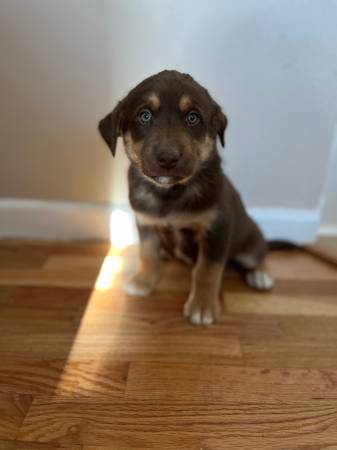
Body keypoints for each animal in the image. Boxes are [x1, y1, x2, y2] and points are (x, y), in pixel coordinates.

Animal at [98, 69, 272, 324]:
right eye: (144, 116)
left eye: (193, 118)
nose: (168, 158)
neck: (170, 193)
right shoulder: (145, 222)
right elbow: (147, 253)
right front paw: (143, 281)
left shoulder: (217, 226)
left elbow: (207, 269)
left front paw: (202, 306)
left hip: (249, 242)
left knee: (261, 253)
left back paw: (261, 275)